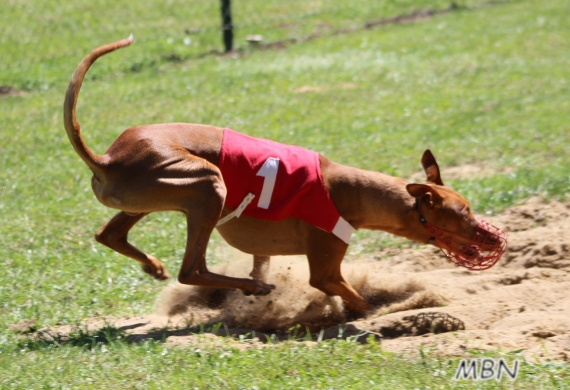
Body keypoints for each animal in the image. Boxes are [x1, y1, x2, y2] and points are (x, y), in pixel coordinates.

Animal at [64, 38, 504, 316]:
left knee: (109, 235)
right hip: (207, 185)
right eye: (464, 213)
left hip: (149, 197)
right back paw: (248, 288)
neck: (347, 190)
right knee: (190, 270)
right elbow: (354, 299)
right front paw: (388, 311)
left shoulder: (264, 251)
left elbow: (262, 263)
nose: (494, 239)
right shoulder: (325, 271)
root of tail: (106, 157)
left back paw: (159, 267)